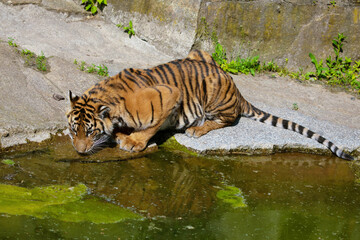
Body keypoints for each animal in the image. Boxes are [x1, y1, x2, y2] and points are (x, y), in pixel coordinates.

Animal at [67, 49, 354, 160]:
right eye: (73, 130)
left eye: (90, 131)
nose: (79, 152)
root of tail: (236, 87)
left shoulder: (169, 95)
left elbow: (151, 126)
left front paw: (133, 141)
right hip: (200, 53)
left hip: (214, 92)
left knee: (228, 119)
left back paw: (197, 129)